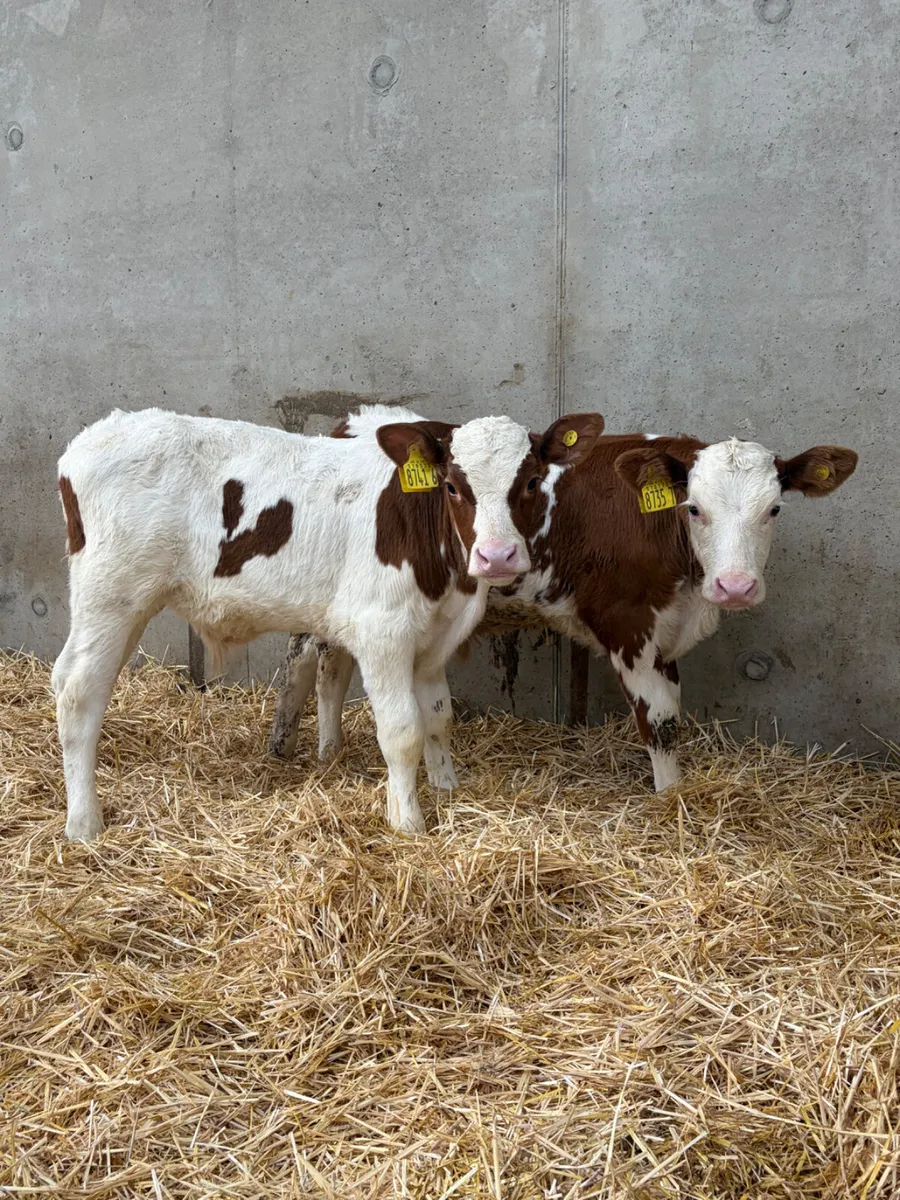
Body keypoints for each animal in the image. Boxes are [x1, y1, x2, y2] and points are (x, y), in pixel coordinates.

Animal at [53, 404, 604, 840]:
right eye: (451, 486)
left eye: (531, 482)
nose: (497, 556)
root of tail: (95, 435)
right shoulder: (383, 634)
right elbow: (402, 730)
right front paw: (408, 820)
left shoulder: (435, 641)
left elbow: (438, 718)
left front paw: (447, 788)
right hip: (112, 596)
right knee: (78, 691)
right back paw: (83, 822)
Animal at [269, 413, 857, 793]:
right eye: (694, 508)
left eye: (775, 509)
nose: (735, 586)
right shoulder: (627, 625)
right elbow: (661, 722)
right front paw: (672, 802)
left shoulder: (666, 631)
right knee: (304, 658)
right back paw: (291, 747)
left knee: (332, 662)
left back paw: (328, 751)